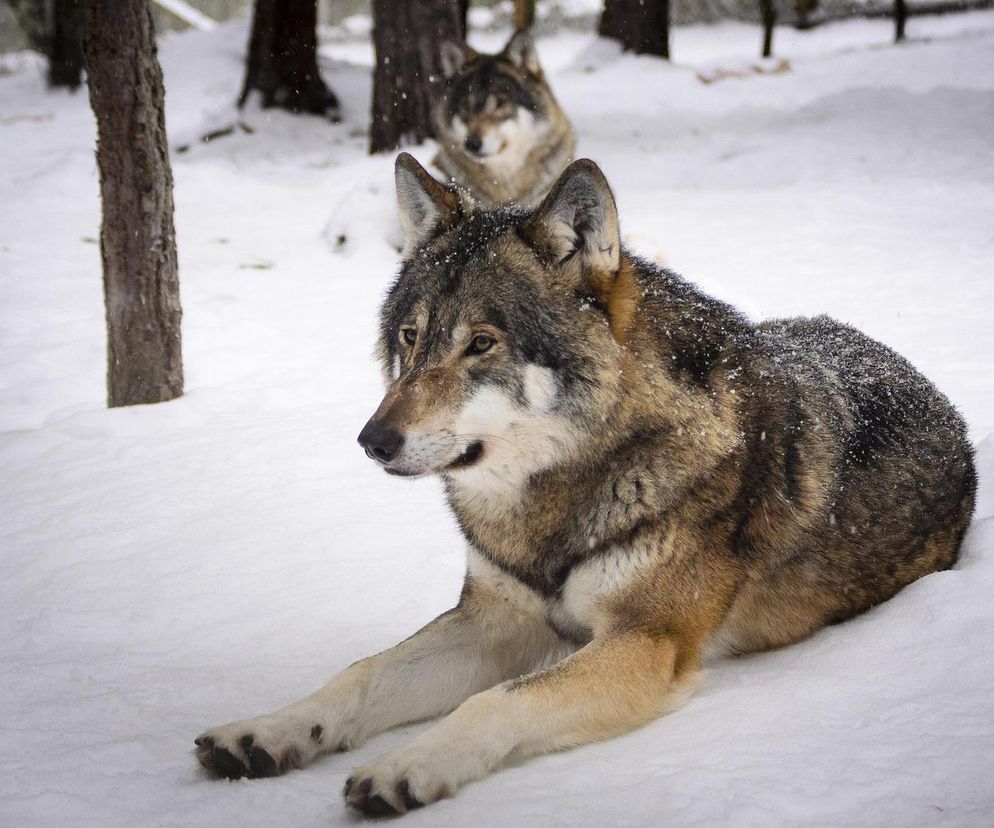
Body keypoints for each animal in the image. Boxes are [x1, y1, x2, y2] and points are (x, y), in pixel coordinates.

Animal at [196, 154, 976, 816]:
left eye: (481, 343)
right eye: (412, 337)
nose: (372, 441)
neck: (559, 493)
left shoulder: (646, 642)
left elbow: (495, 702)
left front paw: (405, 766)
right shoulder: (495, 620)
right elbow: (362, 673)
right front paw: (268, 731)